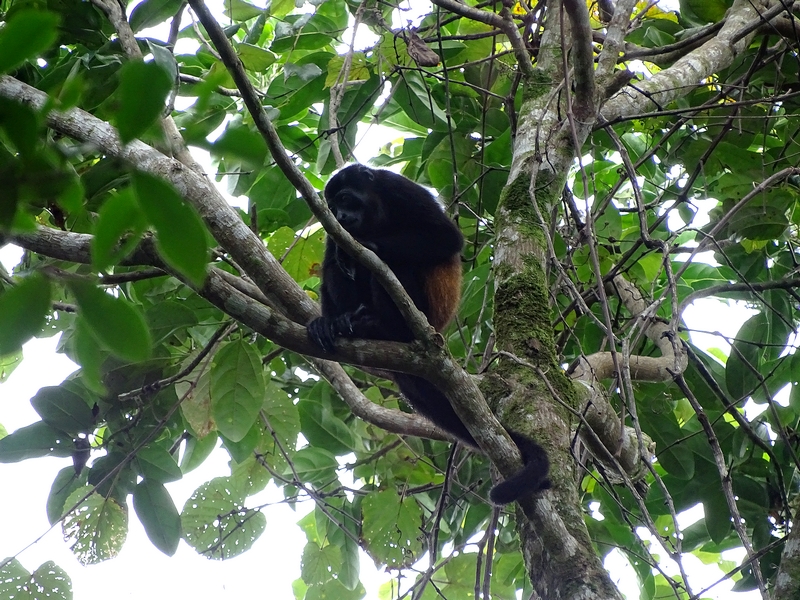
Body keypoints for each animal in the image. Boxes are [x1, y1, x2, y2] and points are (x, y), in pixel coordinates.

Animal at [307, 164, 550, 505]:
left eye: (345, 199)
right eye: (332, 207)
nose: (340, 216)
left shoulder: (401, 190)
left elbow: (447, 237)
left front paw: (369, 245)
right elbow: (333, 253)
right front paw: (327, 321)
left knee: (397, 266)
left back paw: (383, 324)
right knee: (334, 264)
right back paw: (342, 322)